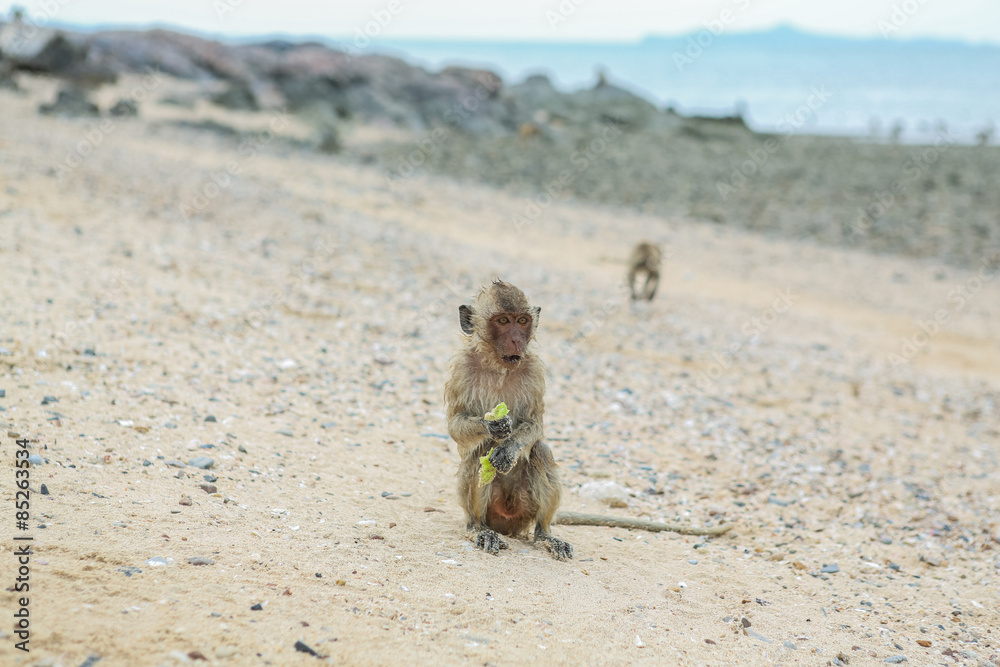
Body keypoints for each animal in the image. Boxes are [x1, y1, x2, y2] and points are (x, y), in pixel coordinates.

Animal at [444, 280, 734, 561]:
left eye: (522, 321)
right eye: (503, 321)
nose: (516, 340)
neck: (499, 366)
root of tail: (507, 523)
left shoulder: (533, 368)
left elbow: (535, 426)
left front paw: (509, 448)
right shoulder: (462, 366)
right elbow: (455, 425)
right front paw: (493, 426)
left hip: (524, 508)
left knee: (541, 452)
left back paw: (544, 534)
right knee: (481, 451)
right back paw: (479, 528)